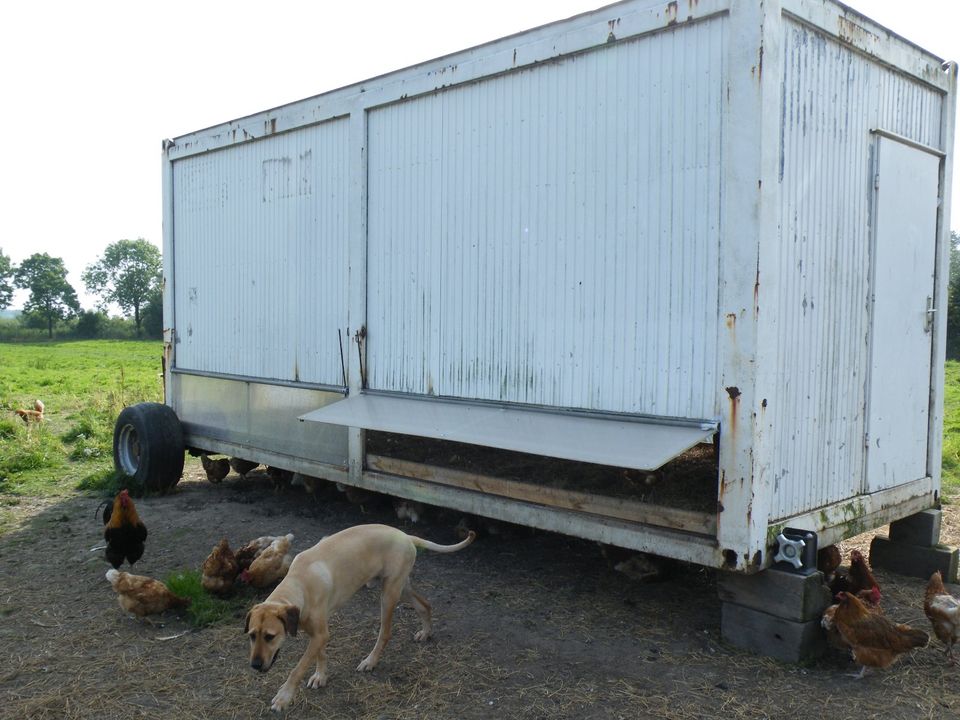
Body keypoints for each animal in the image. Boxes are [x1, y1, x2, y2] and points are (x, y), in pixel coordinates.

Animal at [246, 520, 474, 712]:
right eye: (251, 635)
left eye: (270, 636)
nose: (255, 665)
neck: (298, 584)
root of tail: (405, 535)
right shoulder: (318, 634)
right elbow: (320, 654)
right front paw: (320, 676)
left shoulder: (319, 634)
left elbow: (298, 668)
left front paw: (284, 697)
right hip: (402, 587)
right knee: (425, 605)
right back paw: (426, 632)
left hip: (389, 594)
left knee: (385, 633)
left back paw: (370, 661)